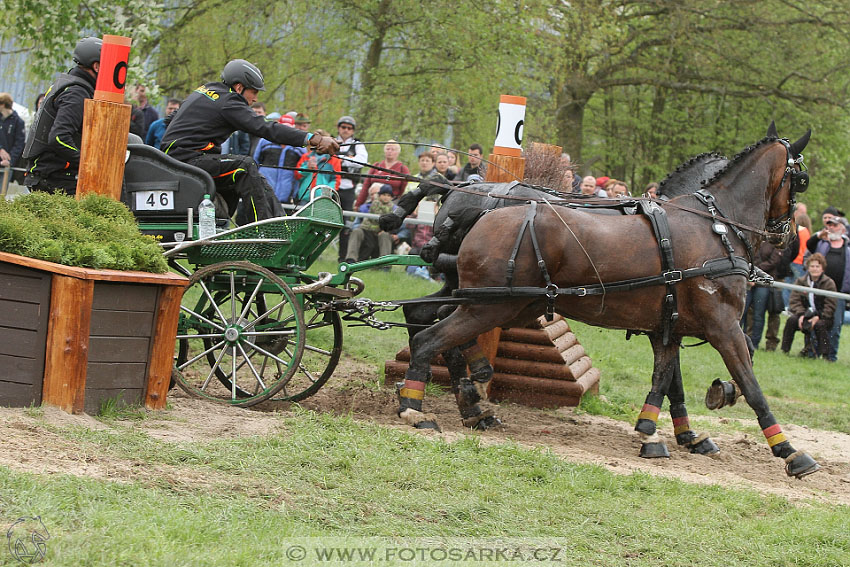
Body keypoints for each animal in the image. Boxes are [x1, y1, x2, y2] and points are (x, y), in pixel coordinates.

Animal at [394, 132, 820, 480]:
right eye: (800, 179)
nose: (784, 234)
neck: (714, 227)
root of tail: (472, 199)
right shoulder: (722, 326)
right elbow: (749, 381)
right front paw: (787, 450)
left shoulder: (668, 326)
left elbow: (667, 379)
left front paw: (659, 432)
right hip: (490, 305)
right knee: (432, 336)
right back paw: (422, 406)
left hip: (498, 302)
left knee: (424, 319)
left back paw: (463, 402)